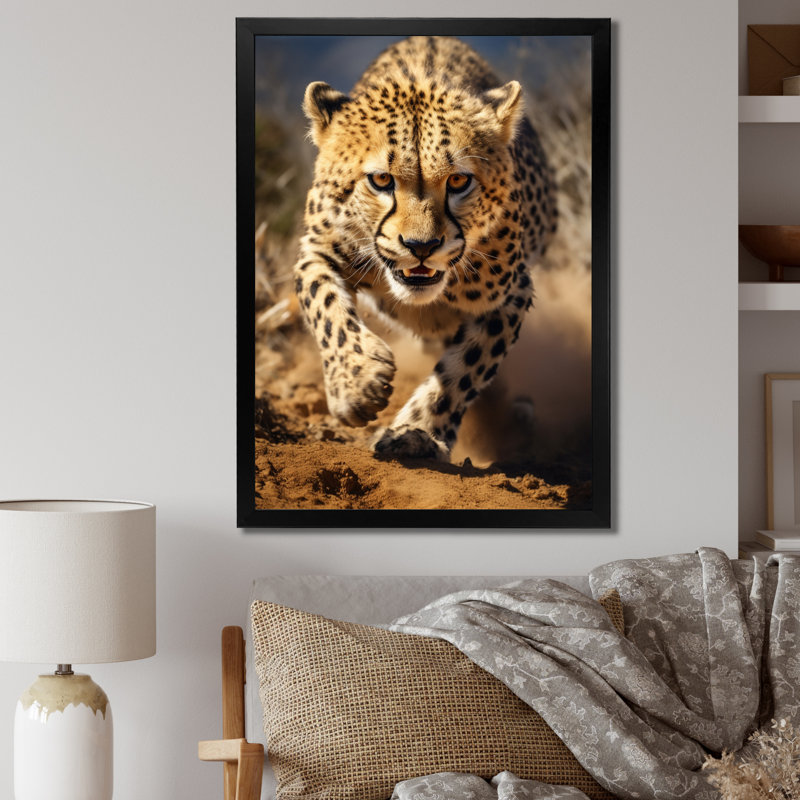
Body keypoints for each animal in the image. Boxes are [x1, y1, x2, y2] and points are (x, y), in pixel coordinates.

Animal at [293, 35, 557, 461]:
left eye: (459, 181)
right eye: (381, 180)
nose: (422, 246)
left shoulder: (512, 293)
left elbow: (466, 367)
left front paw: (416, 431)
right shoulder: (317, 250)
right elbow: (323, 305)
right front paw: (356, 382)